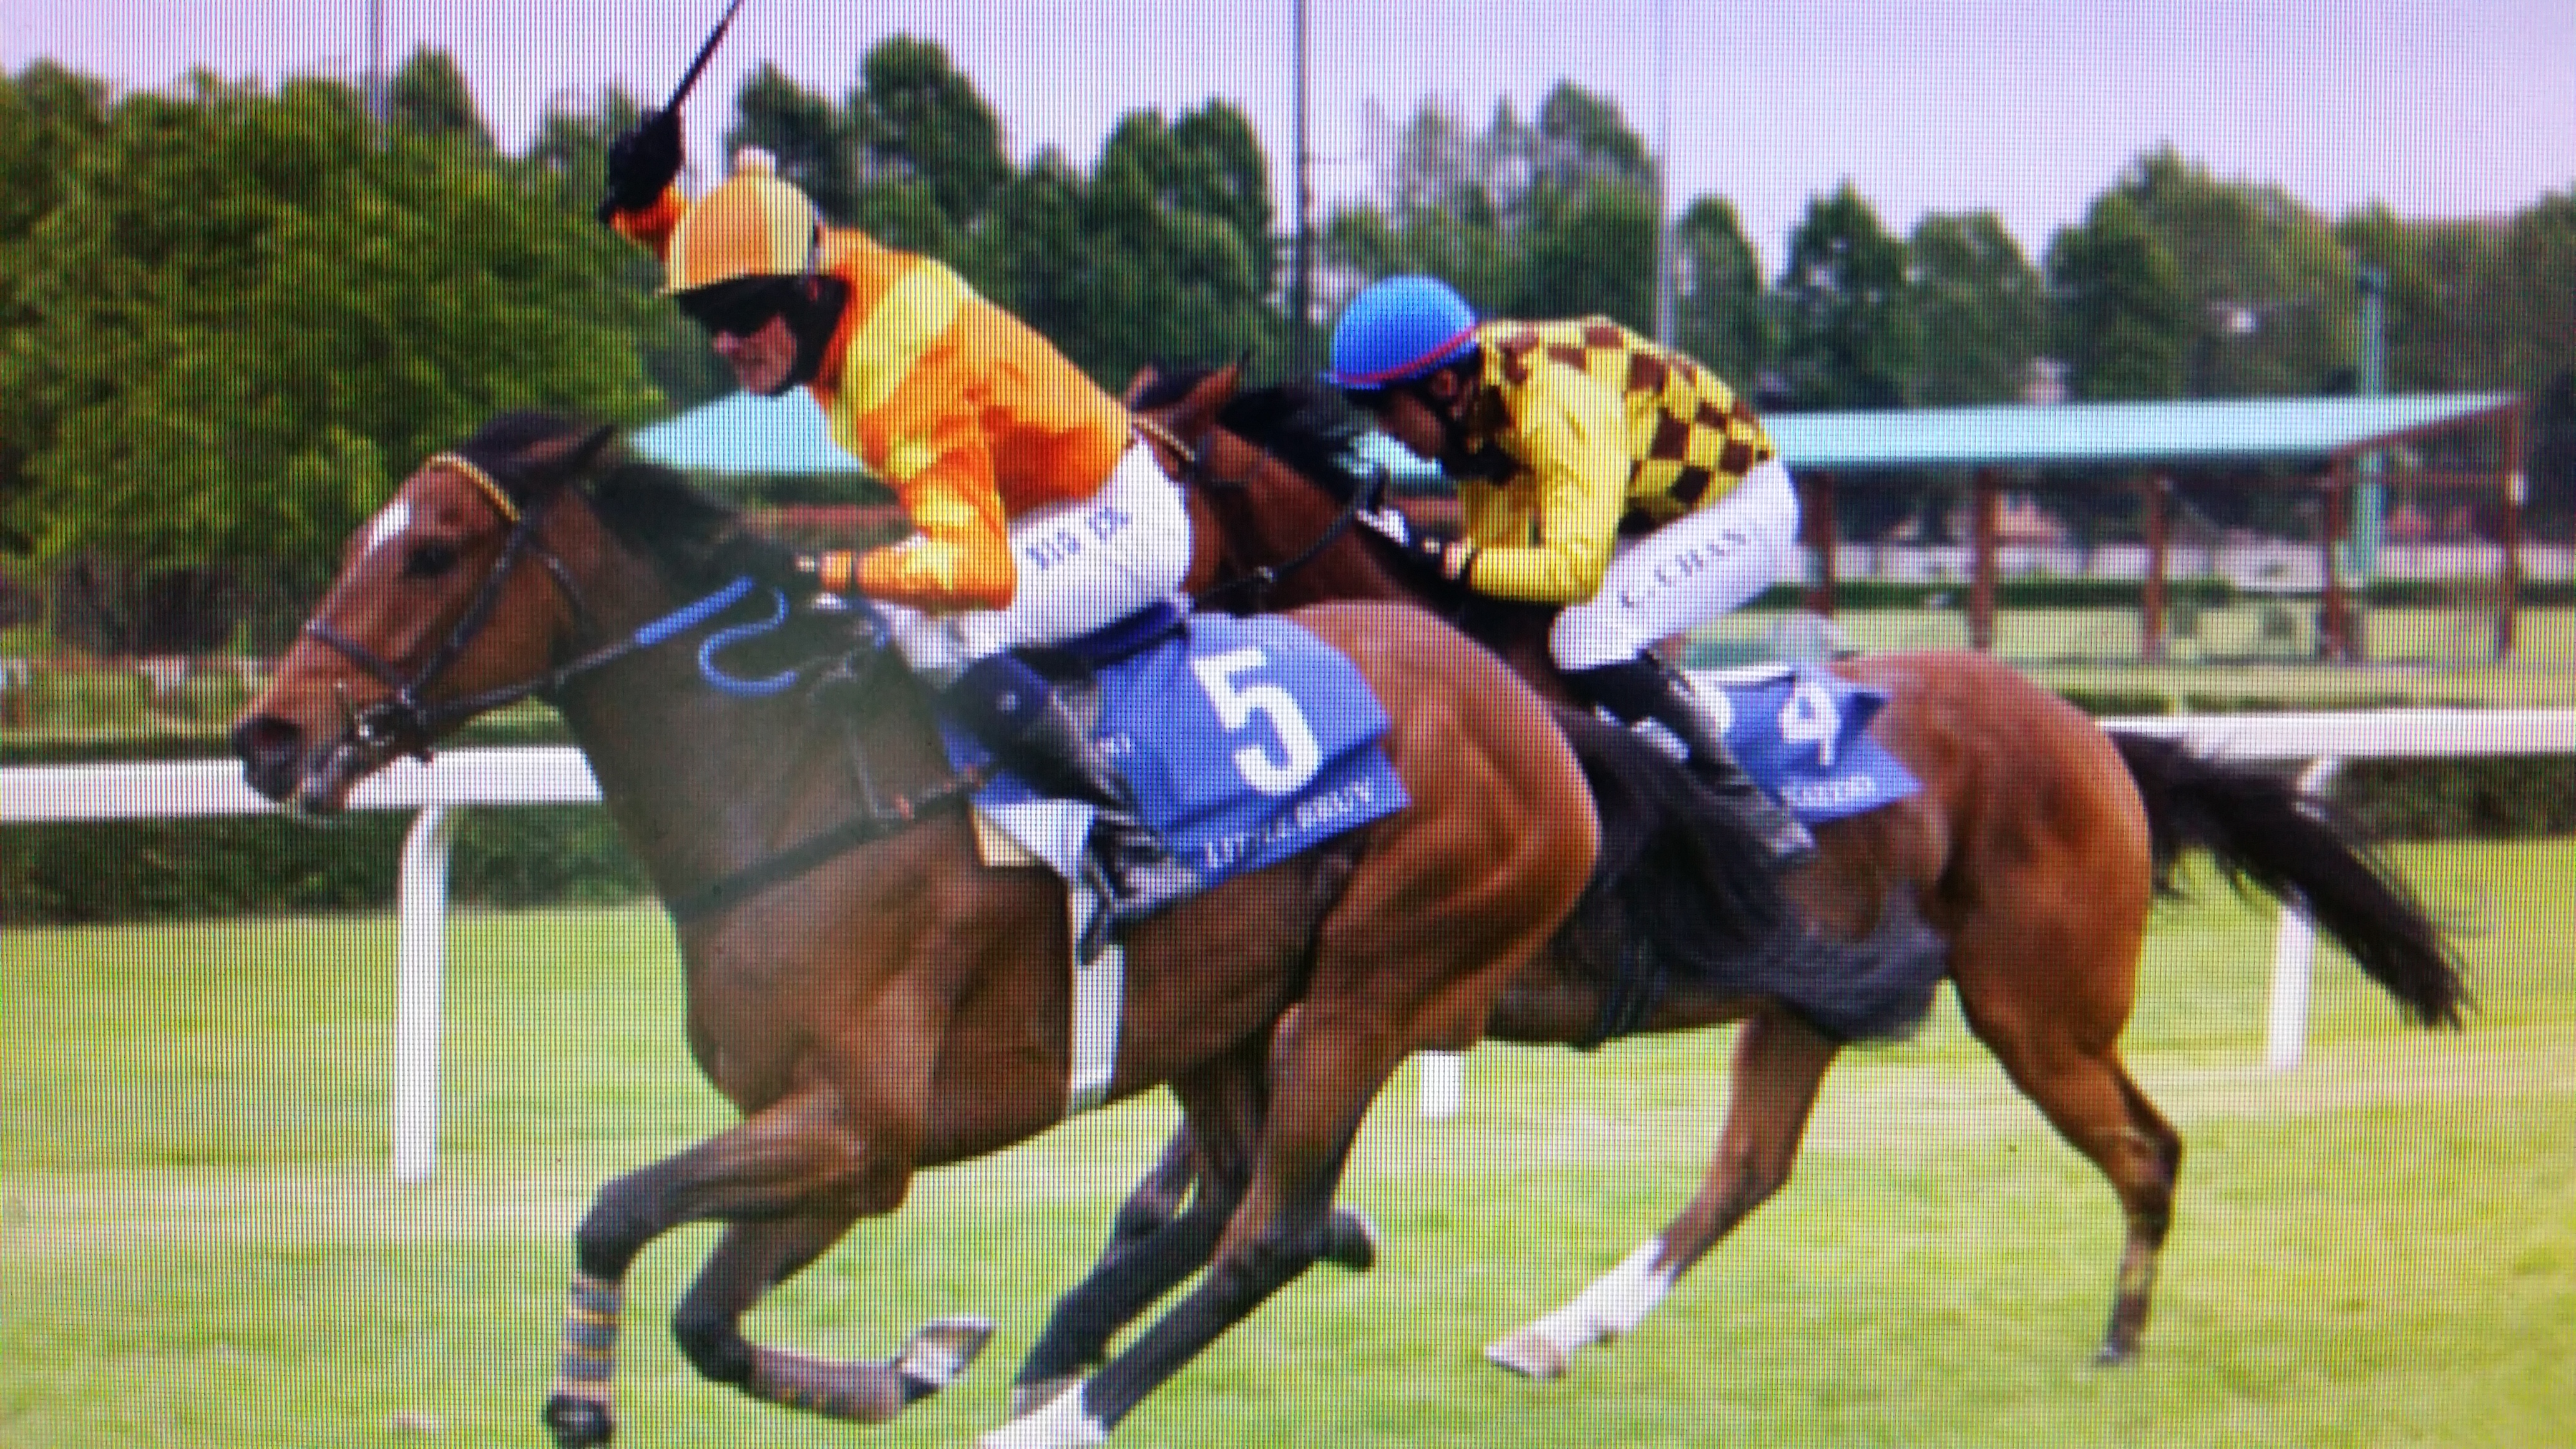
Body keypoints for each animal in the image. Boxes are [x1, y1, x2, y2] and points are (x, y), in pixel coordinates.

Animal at [994, 363, 2462, 1402]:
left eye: (1122, 485)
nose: (988, 612)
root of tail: (2095, 737)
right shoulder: (1328, 974)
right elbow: (1182, 1180)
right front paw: (1073, 1328)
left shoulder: (1421, 986)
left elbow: (1246, 1169)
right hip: (1815, 1001)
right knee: (1749, 1170)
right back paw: (1555, 1334)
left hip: (2037, 1009)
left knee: (2144, 1147)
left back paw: (2118, 1341)